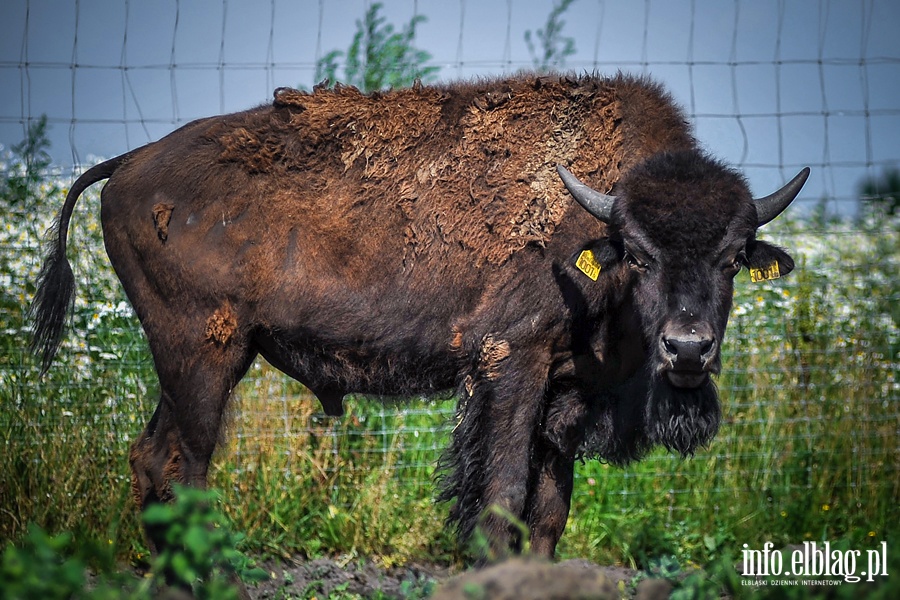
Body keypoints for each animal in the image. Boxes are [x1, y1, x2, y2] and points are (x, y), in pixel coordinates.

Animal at [33, 72, 808, 560]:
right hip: (205, 355)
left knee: (150, 461)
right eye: (640, 255)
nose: (687, 350)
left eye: (734, 258)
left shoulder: (566, 394)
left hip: (202, 358)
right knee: (183, 466)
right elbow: (501, 494)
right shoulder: (512, 363)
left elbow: (550, 511)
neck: (596, 226)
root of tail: (130, 161)